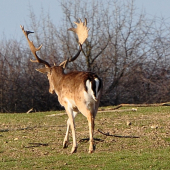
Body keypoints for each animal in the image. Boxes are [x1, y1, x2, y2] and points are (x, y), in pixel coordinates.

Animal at [19, 18, 102, 153]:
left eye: (47, 76)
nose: (50, 90)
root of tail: (92, 79)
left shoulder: (67, 103)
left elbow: (72, 123)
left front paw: (73, 147)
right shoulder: (75, 107)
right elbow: (68, 121)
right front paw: (65, 143)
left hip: (83, 102)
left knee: (90, 118)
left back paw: (91, 148)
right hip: (97, 102)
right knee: (94, 118)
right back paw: (92, 146)